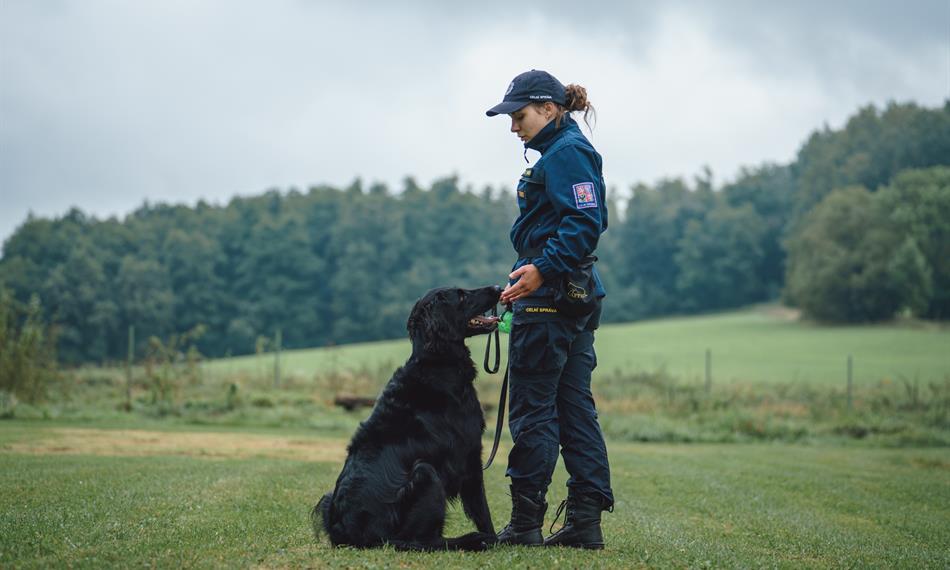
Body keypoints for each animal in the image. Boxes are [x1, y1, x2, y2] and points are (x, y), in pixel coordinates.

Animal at [314, 286, 506, 548]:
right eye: (461, 295)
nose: (498, 288)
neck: (437, 362)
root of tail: (350, 533)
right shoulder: (469, 456)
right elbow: (482, 510)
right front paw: (497, 539)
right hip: (426, 475)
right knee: (424, 540)